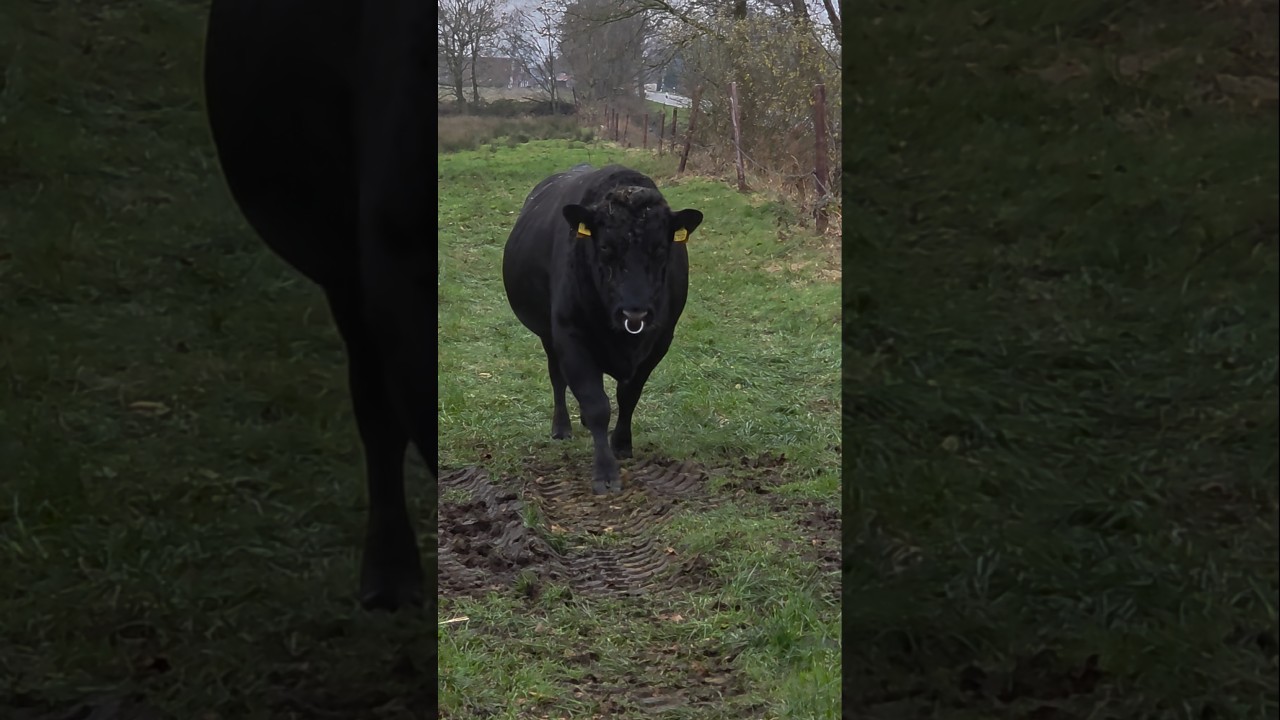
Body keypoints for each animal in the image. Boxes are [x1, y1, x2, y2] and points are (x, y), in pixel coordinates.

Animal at [503, 164, 704, 494]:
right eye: (606, 246)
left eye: (661, 249)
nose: (635, 310)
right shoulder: (570, 335)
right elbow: (597, 403)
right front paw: (605, 472)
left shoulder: (660, 340)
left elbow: (628, 395)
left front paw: (621, 444)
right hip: (548, 335)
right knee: (558, 378)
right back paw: (561, 427)